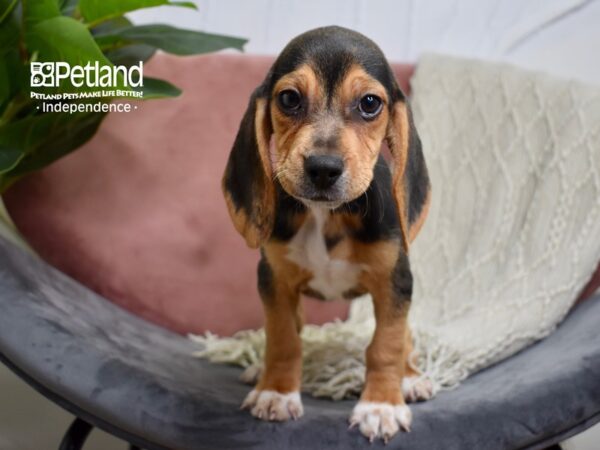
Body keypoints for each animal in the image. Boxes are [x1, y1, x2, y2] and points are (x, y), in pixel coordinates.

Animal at [221, 25, 432, 442]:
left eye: (370, 103)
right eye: (289, 98)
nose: (323, 168)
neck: (326, 215)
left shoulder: (395, 281)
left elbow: (387, 345)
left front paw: (381, 405)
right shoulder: (275, 280)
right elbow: (284, 339)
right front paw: (276, 392)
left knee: (406, 341)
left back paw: (411, 379)